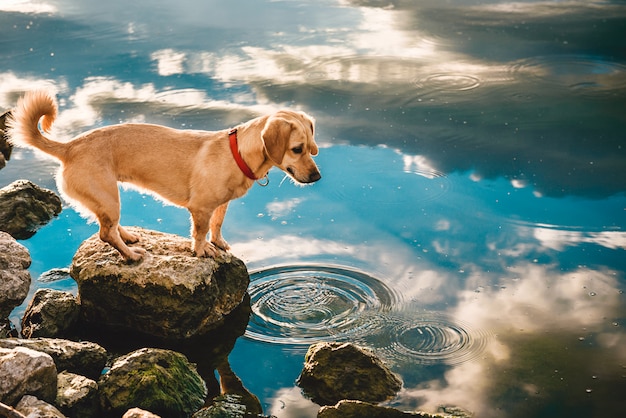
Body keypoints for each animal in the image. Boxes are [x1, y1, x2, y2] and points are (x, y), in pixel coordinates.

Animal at [8, 91, 322, 262]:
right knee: (105, 233)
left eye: (311, 147)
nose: (317, 177)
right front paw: (203, 250)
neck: (238, 153)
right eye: (297, 149)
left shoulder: (221, 204)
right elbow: (200, 232)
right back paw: (131, 256)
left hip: (107, 199)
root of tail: (69, 147)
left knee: (110, 227)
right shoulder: (201, 208)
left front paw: (219, 243)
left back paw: (128, 237)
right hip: (108, 196)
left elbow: (218, 224)